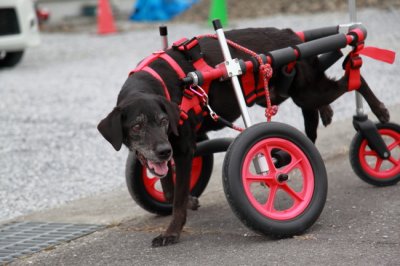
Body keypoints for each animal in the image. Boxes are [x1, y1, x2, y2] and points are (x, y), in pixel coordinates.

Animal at [98, 27, 390, 247]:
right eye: (137, 126)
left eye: (162, 121)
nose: (162, 151)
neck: (157, 84)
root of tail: (291, 35)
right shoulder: (173, 149)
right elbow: (170, 185)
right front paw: (184, 198)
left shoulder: (181, 147)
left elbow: (178, 196)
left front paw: (172, 232)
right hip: (286, 92)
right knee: (323, 103)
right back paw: (329, 113)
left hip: (307, 91)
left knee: (353, 76)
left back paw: (377, 112)